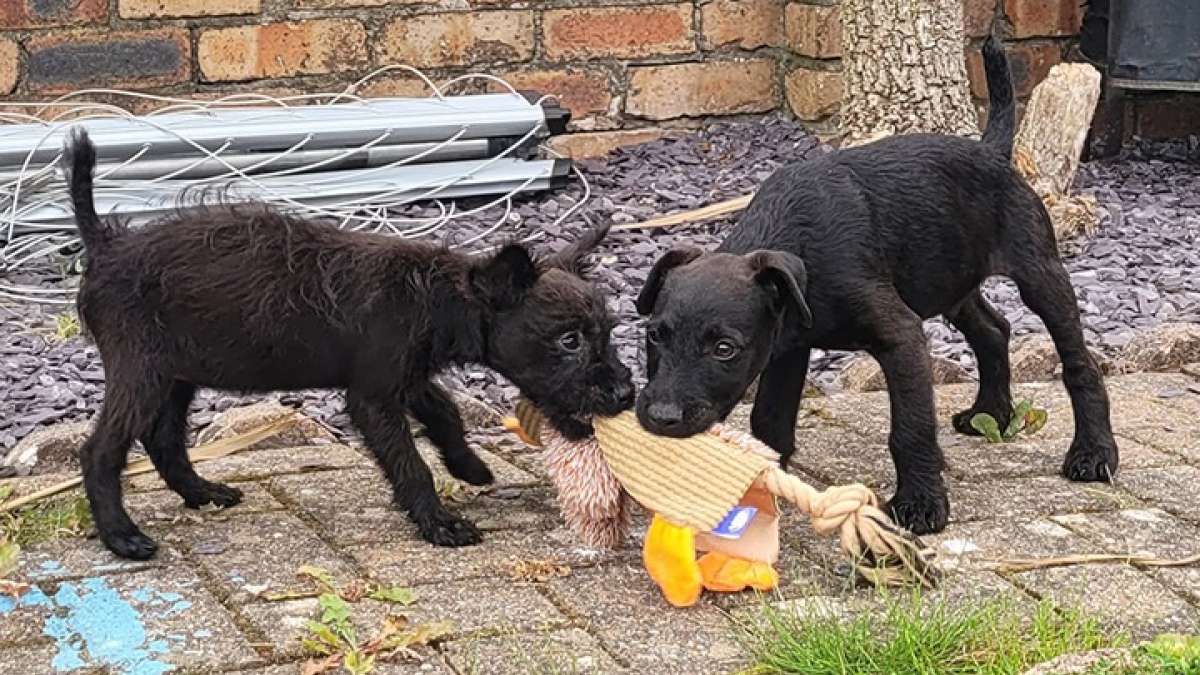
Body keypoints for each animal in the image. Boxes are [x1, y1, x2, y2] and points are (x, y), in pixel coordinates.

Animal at [63, 126, 638, 557]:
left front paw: (467, 464)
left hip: (178, 374)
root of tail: (106, 244)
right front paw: (440, 522)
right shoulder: (373, 398)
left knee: (163, 440)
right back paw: (122, 537)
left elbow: (446, 411)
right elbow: (410, 463)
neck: (434, 296)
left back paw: (201, 492)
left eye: (607, 334)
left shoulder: (405, 377)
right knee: (100, 451)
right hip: (142, 372)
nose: (625, 393)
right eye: (569, 341)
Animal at [633, 35, 1118, 535]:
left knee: (1078, 362)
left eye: (724, 349)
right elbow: (770, 419)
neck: (798, 242)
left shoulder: (900, 336)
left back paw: (1093, 452)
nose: (661, 417)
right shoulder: (789, 346)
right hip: (949, 280)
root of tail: (991, 151)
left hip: (1039, 275)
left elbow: (910, 428)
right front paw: (766, 487)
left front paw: (921, 503)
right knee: (993, 329)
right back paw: (990, 413)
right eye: (654, 336)